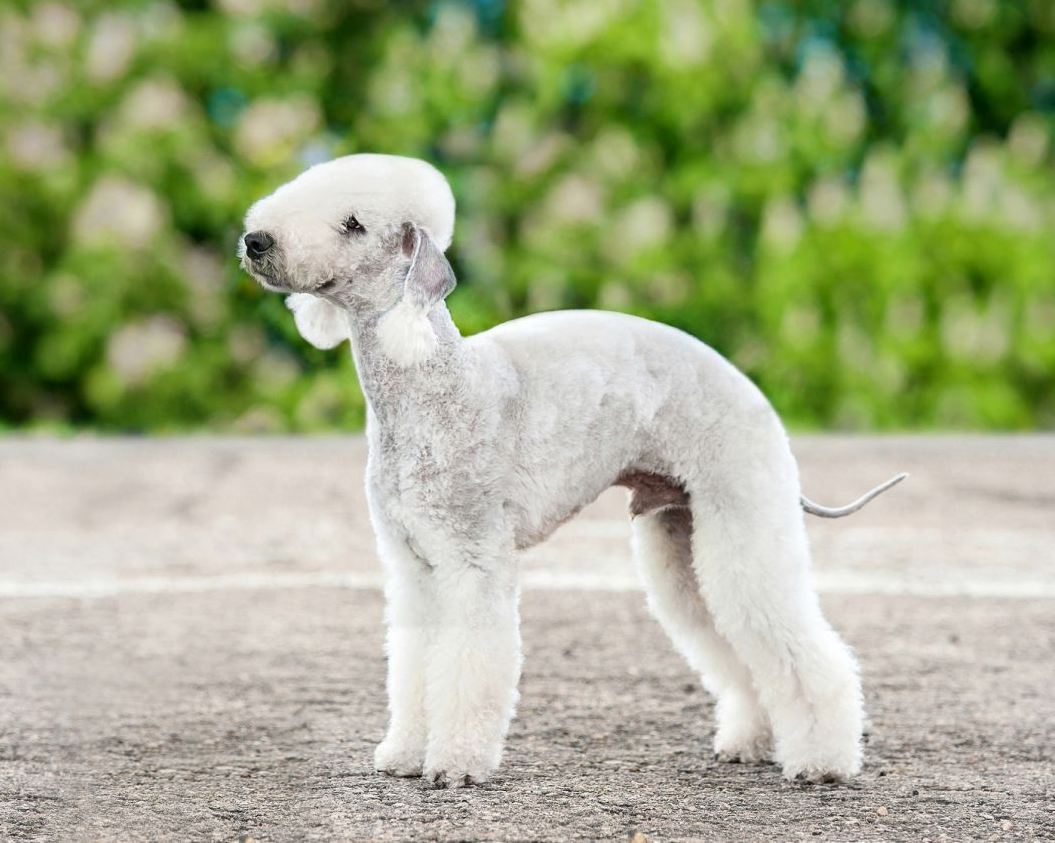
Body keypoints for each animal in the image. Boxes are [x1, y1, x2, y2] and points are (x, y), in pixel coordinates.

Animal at [242, 155, 903, 789]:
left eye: (353, 224)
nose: (254, 240)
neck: (431, 385)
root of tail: (752, 393)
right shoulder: (413, 566)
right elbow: (414, 665)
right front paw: (404, 754)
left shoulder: (473, 560)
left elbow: (469, 666)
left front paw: (455, 764)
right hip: (682, 538)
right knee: (730, 644)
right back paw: (753, 741)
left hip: (744, 519)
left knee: (800, 646)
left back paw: (823, 762)